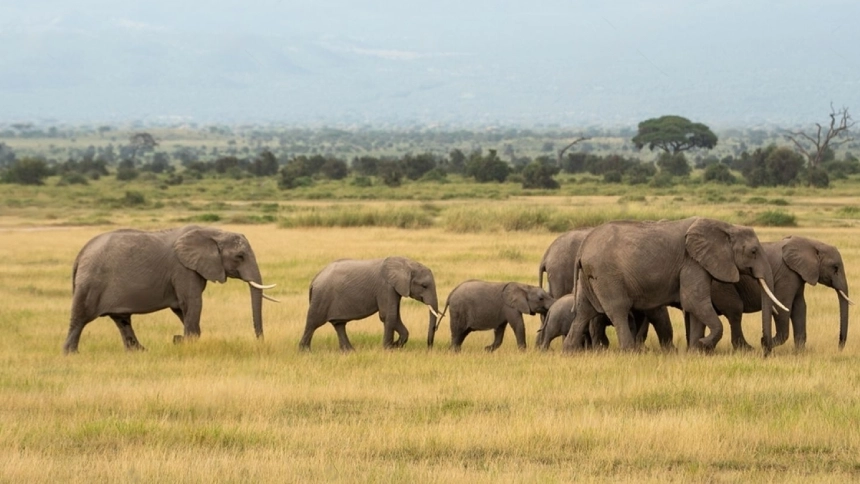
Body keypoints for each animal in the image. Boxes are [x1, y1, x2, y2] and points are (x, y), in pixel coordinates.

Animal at [63, 225, 276, 354]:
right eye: (240, 256)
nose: (260, 341)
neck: (214, 232)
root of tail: (80, 255)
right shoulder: (183, 269)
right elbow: (193, 303)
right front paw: (185, 342)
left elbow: (182, 309)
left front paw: (182, 340)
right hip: (91, 282)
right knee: (80, 318)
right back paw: (71, 353)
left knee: (122, 320)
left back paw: (140, 352)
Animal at [300, 256, 440, 351]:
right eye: (424, 286)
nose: (429, 348)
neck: (406, 264)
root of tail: (314, 279)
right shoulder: (385, 287)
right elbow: (388, 315)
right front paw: (388, 349)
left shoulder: (394, 289)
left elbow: (395, 315)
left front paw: (395, 346)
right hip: (321, 297)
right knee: (313, 323)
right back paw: (305, 352)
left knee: (339, 324)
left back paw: (349, 352)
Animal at [561, 217, 787, 355]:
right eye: (753, 251)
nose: (764, 346)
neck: (725, 226)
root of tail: (583, 248)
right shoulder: (692, 263)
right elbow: (695, 301)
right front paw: (704, 345)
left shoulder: (698, 264)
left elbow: (695, 307)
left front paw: (695, 351)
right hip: (607, 274)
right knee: (618, 309)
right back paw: (630, 352)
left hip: (589, 277)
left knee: (584, 311)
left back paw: (569, 352)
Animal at [689, 235, 852, 351]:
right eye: (835, 267)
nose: (839, 347)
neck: (812, 243)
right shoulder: (788, 274)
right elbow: (783, 306)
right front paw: (766, 344)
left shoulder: (799, 275)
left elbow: (800, 307)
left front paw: (799, 353)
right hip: (722, 285)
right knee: (735, 311)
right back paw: (746, 349)